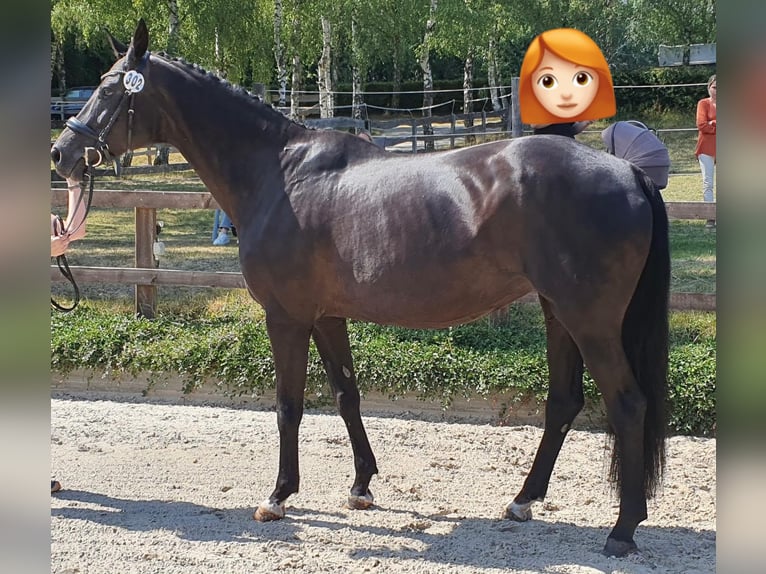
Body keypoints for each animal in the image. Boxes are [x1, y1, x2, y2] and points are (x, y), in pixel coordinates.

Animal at [50, 20, 670, 557]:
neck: (279, 173)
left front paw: (278, 496)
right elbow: (346, 395)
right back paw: (523, 502)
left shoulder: (286, 316)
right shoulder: (327, 316)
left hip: (590, 320)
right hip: (557, 311)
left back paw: (623, 529)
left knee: (628, 403)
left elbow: (289, 405)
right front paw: (362, 486)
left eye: (111, 89)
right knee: (564, 400)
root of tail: (627, 172)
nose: (62, 152)